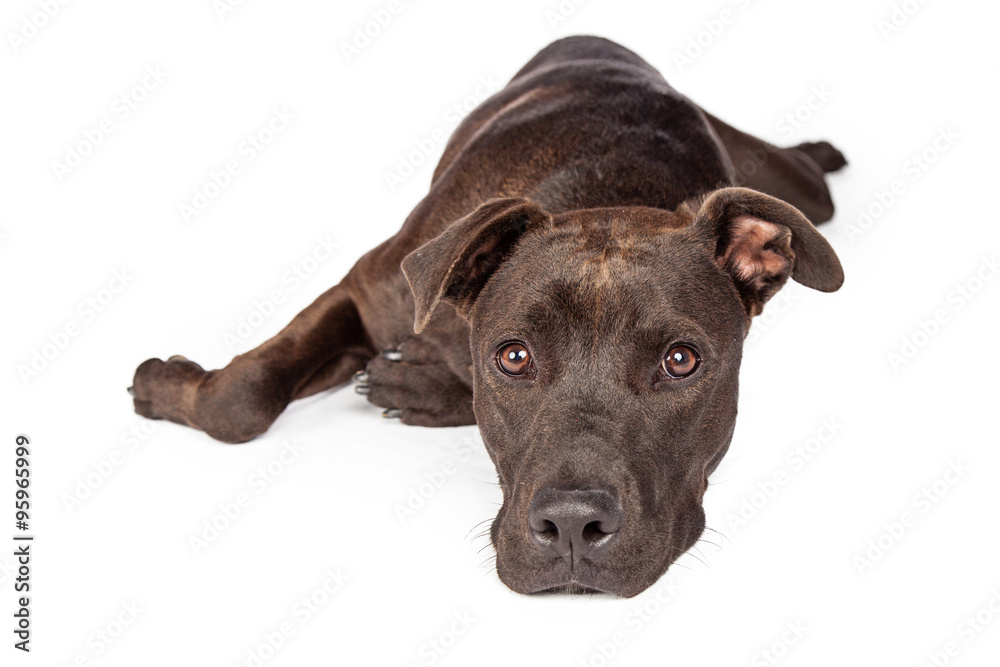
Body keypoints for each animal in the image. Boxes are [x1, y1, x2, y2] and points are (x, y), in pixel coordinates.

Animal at [129, 36, 848, 596]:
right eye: (514, 356)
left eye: (681, 361)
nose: (572, 525)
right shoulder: (367, 289)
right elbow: (245, 395)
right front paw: (166, 386)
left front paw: (412, 384)